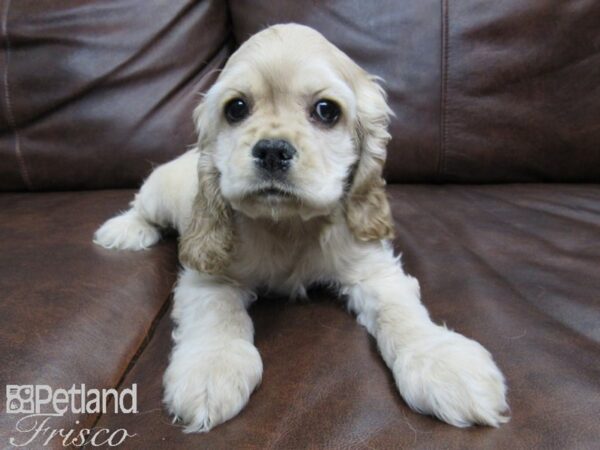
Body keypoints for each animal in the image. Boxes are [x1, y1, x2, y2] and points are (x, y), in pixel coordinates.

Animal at [96, 23, 508, 432]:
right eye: (236, 108)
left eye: (326, 110)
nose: (272, 150)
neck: (288, 225)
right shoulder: (209, 278)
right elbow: (218, 315)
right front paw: (211, 370)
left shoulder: (373, 271)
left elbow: (400, 312)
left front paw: (444, 364)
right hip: (160, 190)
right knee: (141, 206)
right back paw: (123, 230)